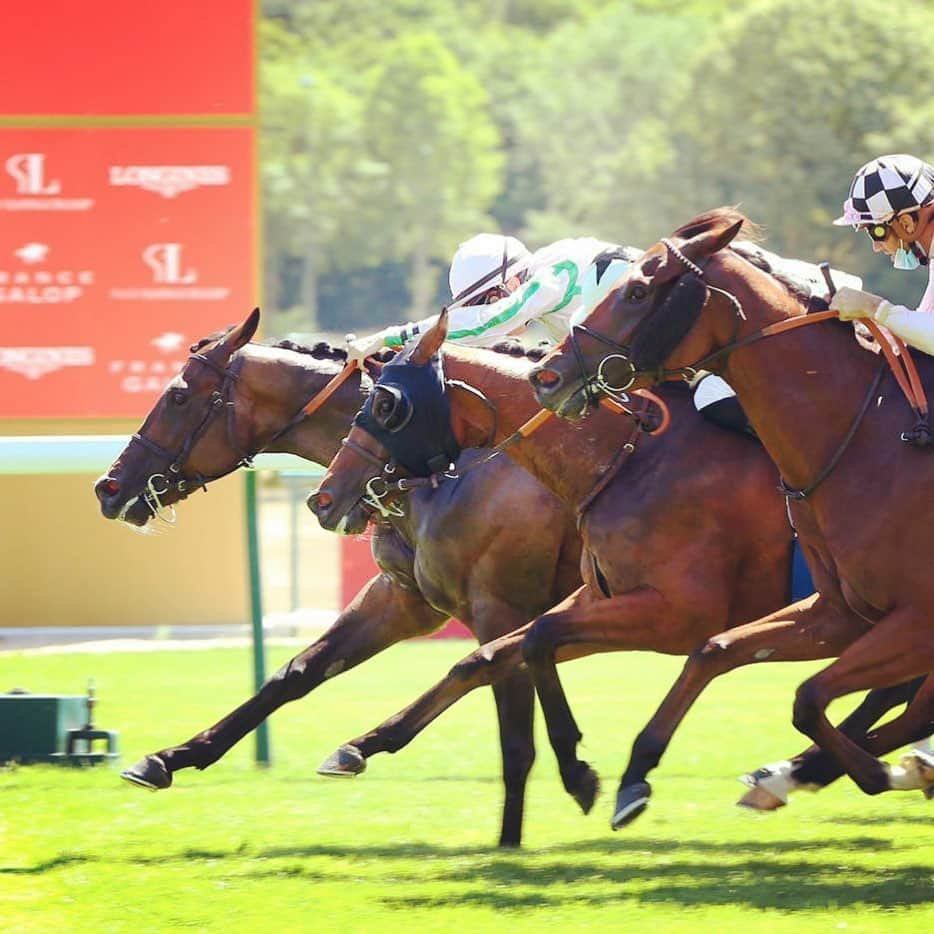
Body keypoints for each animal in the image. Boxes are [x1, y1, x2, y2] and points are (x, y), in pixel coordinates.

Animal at [93, 308, 584, 848]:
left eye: (178, 396)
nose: (108, 487)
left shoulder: (501, 606)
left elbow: (513, 735)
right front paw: (170, 757)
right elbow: (297, 672)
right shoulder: (404, 598)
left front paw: (508, 844)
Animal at [528, 208, 934, 824]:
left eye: (639, 289)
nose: (546, 377)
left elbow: (810, 698)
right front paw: (627, 775)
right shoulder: (840, 613)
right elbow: (720, 653)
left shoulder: (915, 619)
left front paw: (870, 772)